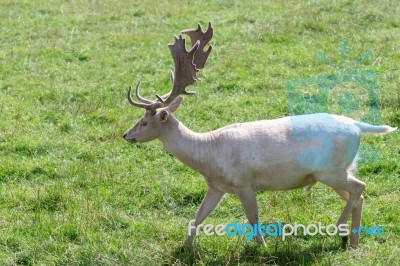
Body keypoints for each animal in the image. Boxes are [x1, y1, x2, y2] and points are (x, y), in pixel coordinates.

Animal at [122, 21, 396, 248]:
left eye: (144, 121)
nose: (126, 135)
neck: (208, 155)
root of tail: (357, 125)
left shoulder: (244, 182)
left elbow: (253, 217)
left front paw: (262, 247)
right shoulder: (216, 186)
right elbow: (198, 216)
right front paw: (186, 248)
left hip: (330, 170)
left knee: (360, 187)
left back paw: (340, 230)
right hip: (337, 171)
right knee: (358, 195)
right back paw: (351, 243)